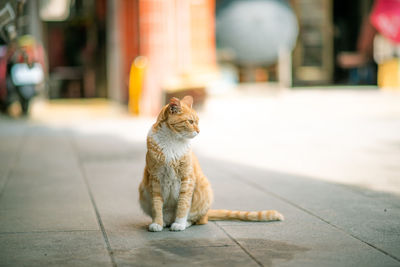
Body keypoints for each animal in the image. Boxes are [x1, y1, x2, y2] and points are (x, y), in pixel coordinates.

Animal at [139, 96, 282, 232]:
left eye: (197, 122)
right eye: (190, 122)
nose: (199, 131)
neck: (172, 141)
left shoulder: (187, 178)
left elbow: (183, 204)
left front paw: (179, 223)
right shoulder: (155, 178)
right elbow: (157, 205)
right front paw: (157, 223)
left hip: (204, 192)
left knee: (200, 219)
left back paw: (184, 223)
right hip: (143, 190)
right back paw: (164, 222)